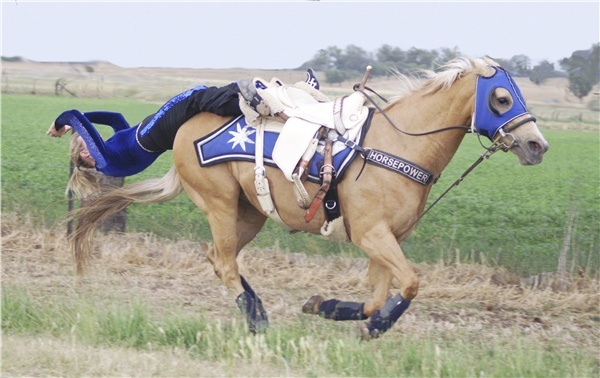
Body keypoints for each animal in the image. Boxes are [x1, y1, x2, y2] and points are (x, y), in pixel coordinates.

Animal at [69, 58, 548, 340]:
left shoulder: (384, 240)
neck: (396, 146)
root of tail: (186, 128)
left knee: (221, 259)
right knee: (223, 261)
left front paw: (330, 307)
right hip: (219, 205)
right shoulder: (372, 236)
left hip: (249, 214)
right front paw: (374, 325)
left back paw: (259, 309)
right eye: (501, 98)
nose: (537, 145)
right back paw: (255, 320)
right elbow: (410, 283)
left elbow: (380, 295)